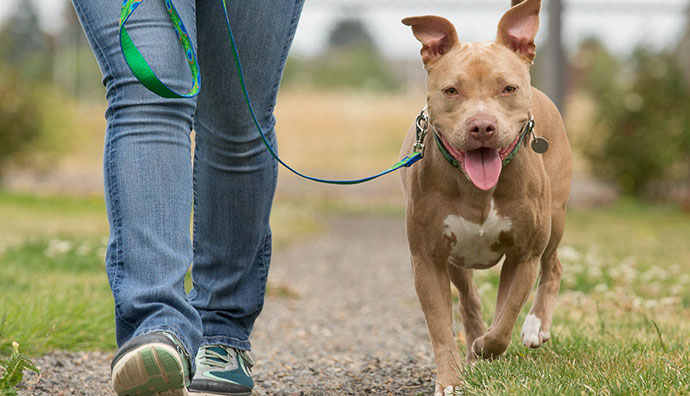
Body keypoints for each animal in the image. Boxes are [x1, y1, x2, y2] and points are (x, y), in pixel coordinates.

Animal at [398, 1, 568, 394]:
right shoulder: (427, 261)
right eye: (451, 91)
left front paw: (487, 348)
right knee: (469, 299)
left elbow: (503, 322)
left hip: (555, 220)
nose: (482, 126)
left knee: (553, 267)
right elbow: (441, 330)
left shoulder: (524, 255)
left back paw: (535, 327)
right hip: (456, 260)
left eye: (508, 88)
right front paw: (451, 380)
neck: (478, 188)